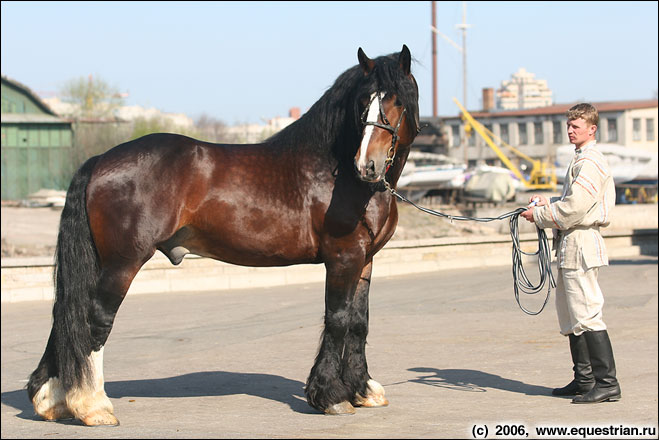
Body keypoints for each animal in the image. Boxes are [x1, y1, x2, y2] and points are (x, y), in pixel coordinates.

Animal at [28, 43, 420, 422]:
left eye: (398, 101)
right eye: (364, 102)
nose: (367, 165)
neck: (333, 171)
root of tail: (100, 161)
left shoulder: (365, 260)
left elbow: (358, 323)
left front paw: (363, 390)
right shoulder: (342, 257)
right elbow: (337, 320)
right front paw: (331, 396)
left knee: (66, 317)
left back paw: (51, 400)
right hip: (122, 263)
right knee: (94, 319)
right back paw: (93, 406)